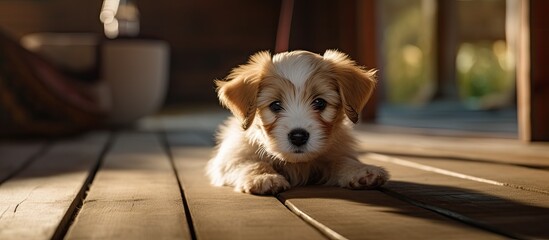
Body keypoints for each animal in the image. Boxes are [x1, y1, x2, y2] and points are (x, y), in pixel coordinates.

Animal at [207, 49, 390, 194]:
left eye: (320, 103)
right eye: (275, 105)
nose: (298, 137)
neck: (295, 162)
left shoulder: (334, 151)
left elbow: (342, 160)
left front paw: (361, 170)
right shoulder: (231, 156)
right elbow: (251, 163)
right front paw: (264, 177)